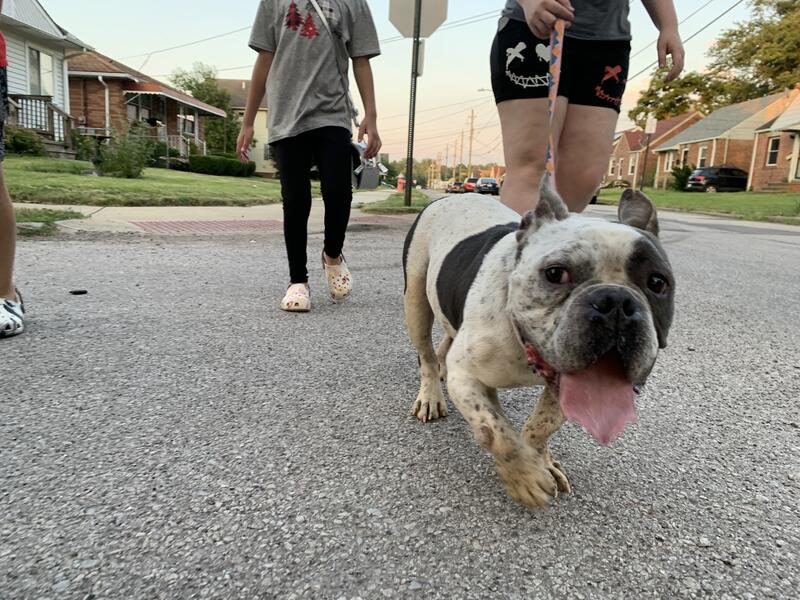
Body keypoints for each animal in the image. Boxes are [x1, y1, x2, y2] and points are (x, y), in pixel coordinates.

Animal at [402, 186, 674, 509]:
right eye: (555, 273)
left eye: (658, 282)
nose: (617, 302)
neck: (522, 346)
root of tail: (451, 196)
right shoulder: (466, 377)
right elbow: (498, 431)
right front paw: (526, 477)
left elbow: (541, 425)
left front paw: (540, 461)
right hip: (416, 300)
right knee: (426, 355)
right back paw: (430, 395)